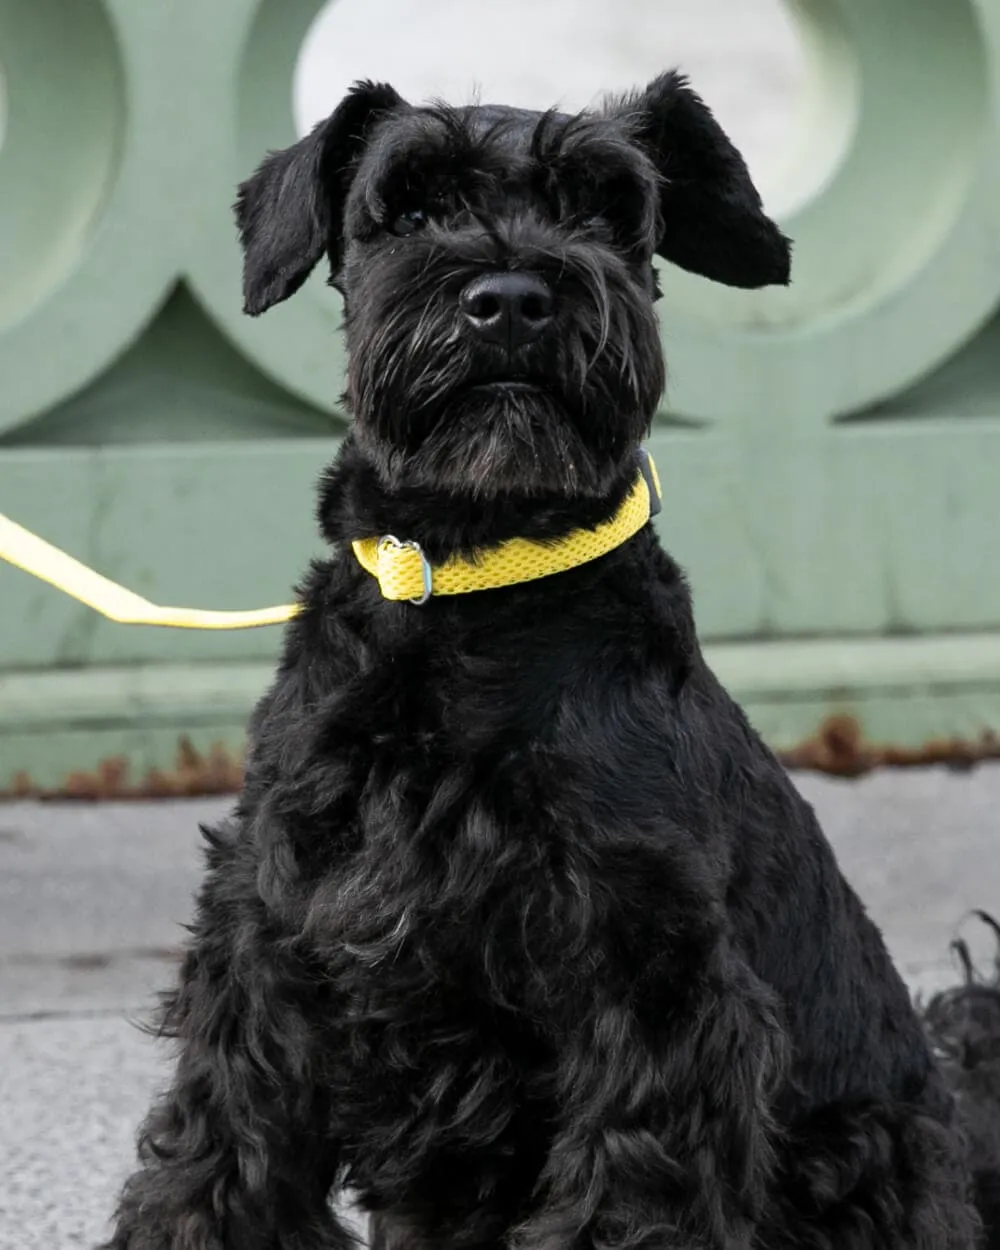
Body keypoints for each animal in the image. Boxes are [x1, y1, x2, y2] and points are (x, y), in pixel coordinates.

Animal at [105, 75, 990, 1250]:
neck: (472, 596)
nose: (514, 298)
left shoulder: (649, 983)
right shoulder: (269, 943)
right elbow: (218, 1158)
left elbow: (625, 1192)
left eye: (607, 211)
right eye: (411, 205)